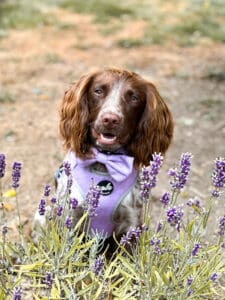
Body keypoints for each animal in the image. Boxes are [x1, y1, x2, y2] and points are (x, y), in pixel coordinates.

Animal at [33, 67, 173, 246]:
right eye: (98, 91)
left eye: (134, 97)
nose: (110, 119)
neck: (104, 162)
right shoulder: (70, 219)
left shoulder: (129, 226)